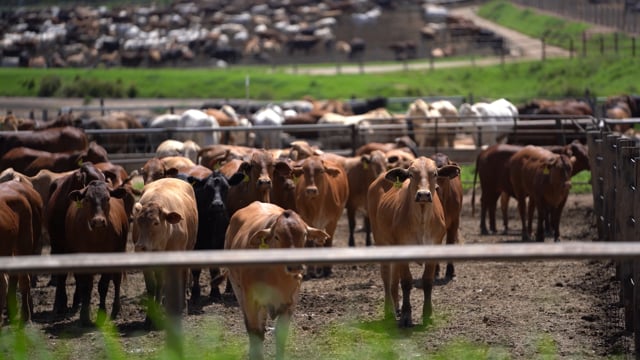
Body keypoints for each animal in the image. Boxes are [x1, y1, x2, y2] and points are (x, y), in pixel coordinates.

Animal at [65, 180, 129, 326]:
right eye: (87, 199)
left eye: (107, 198)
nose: (98, 221)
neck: (96, 238)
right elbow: (85, 286)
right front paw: (84, 316)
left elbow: (103, 286)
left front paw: (102, 314)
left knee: (116, 280)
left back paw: (115, 309)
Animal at [132, 177, 198, 330]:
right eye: (138, 221)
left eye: (156, 223)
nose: (140, 247)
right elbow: (153, 286)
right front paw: (150, 318)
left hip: (189, 248)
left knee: (184, 275)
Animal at [224, 201, 328, 360]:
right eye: (277, 236)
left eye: (304, 235)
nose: (295, 265)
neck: (275, 277)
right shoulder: (251, 300)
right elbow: (255, 331)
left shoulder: (289, 303)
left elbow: (280, 335)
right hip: (238, 289)